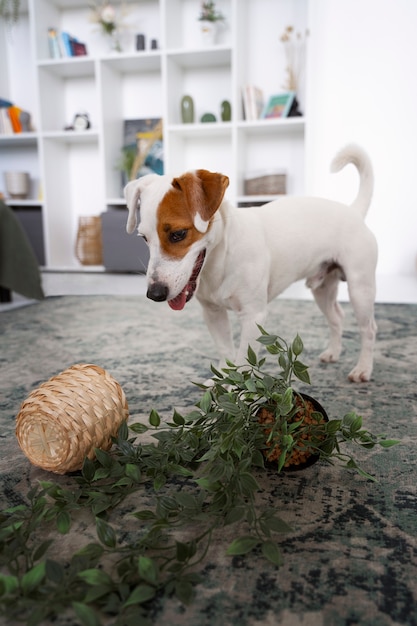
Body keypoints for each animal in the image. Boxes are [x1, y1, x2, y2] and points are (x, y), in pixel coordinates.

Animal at [123, 145, 376, 380]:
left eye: (178, 234)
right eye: (144, 238)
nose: (155, 293)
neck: (220, 261)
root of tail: (353, 211)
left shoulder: (253, 316)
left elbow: (245, 360)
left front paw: (241, 391)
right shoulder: (213, 314)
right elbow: (226, 352)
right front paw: (222, 382)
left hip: (360, 289)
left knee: (368, 329)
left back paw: (363, 368)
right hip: (322, 289)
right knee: (337, 318)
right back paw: (333, 352)